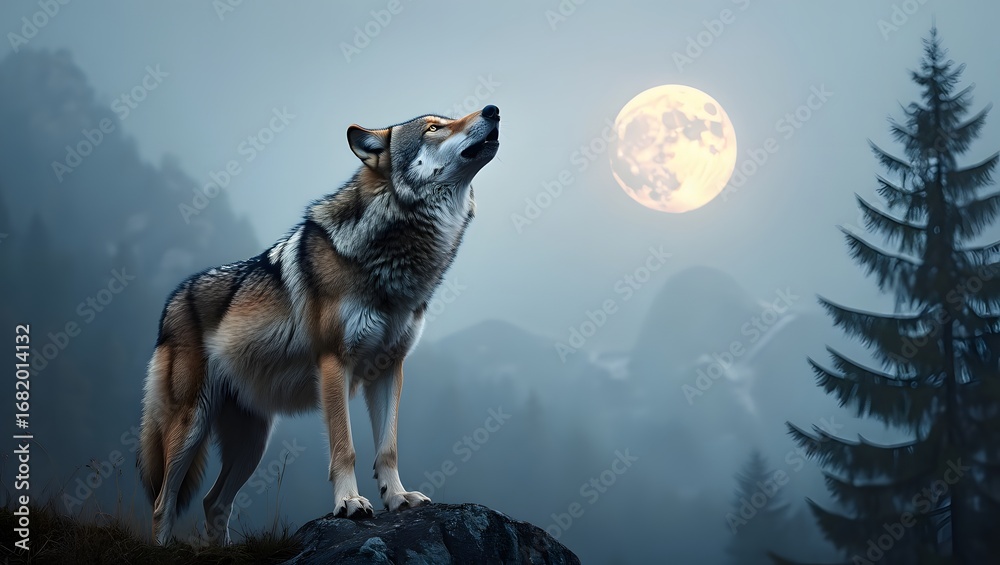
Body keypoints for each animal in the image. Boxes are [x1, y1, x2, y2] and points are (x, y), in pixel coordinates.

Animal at [138, 105, 501, 545]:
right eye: (433, 128)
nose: (493, 110)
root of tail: (172, 301)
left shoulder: (389, 369)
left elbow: (388, 448)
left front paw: (397, 498)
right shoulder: (334, 363)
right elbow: (345, 448)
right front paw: (349, 503)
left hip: (252, 443)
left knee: (213, 502)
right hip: (191, 426)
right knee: (164, 502)